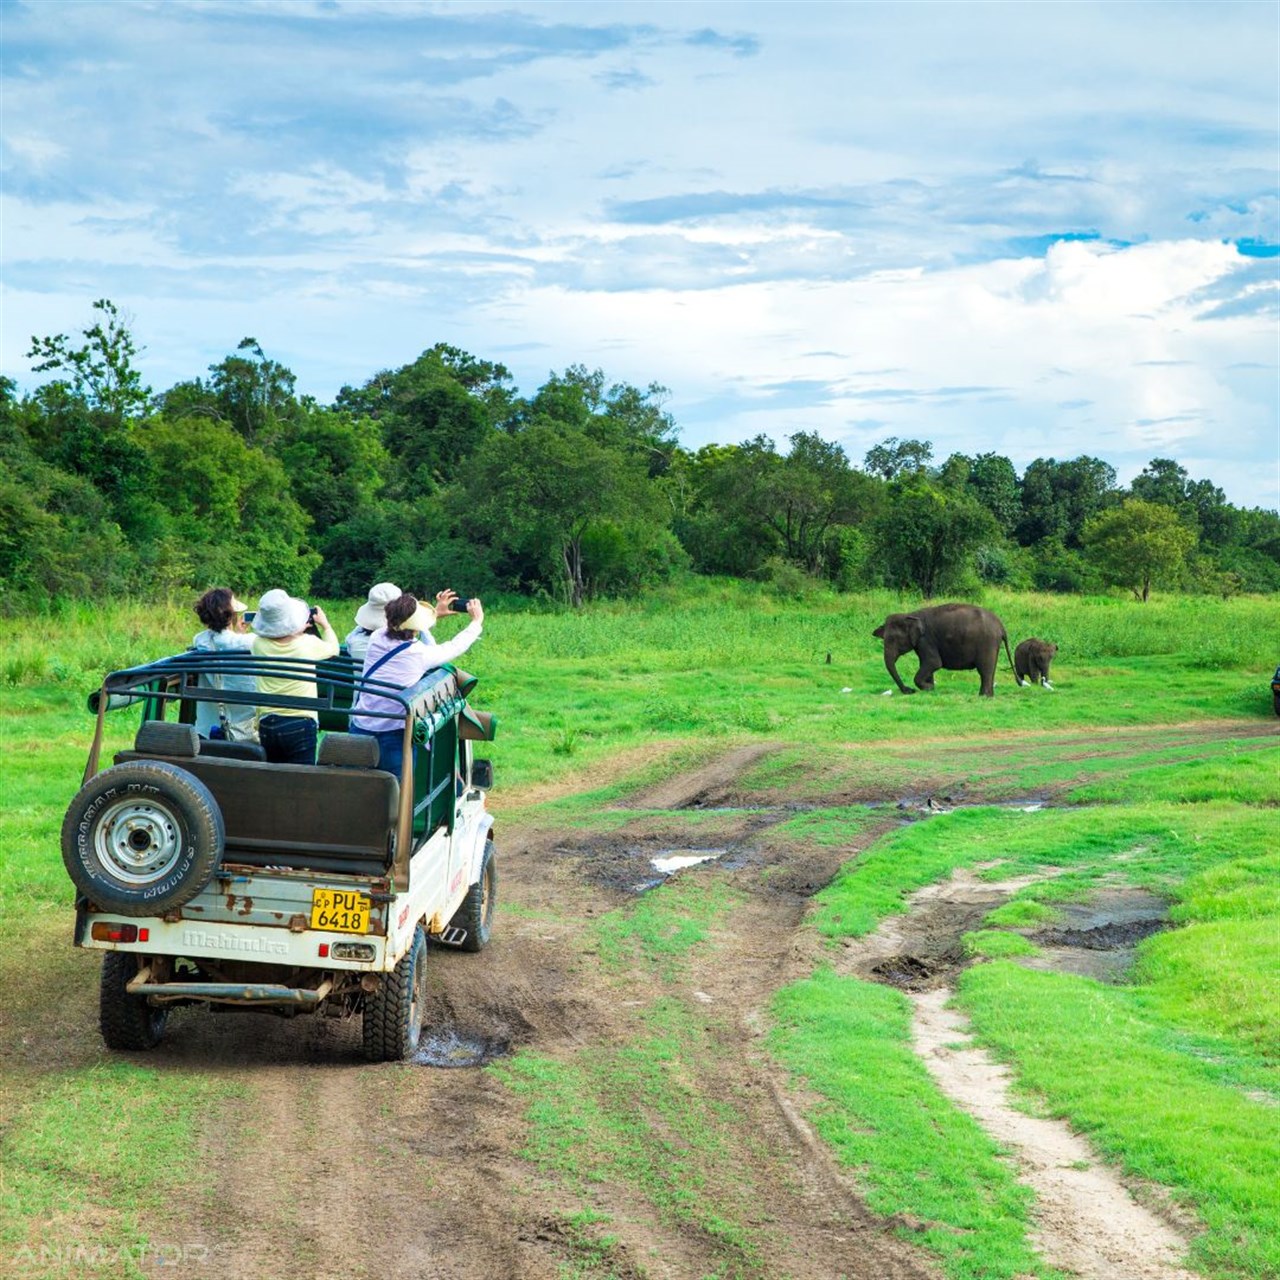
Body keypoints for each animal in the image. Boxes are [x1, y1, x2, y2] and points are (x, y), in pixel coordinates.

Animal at [875, 601, 1013, 696]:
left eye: (893, 640)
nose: (909, 690)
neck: (910, 615)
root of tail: (1001, 626)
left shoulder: (925, 640)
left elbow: (933, 662)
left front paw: (928, 688)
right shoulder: (922, 643)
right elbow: (927, 664)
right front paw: (930, 689)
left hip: (987, 642)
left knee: (984, 670)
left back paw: (983, 696)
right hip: (993, 644)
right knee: (991, 669)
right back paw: (988, 696)